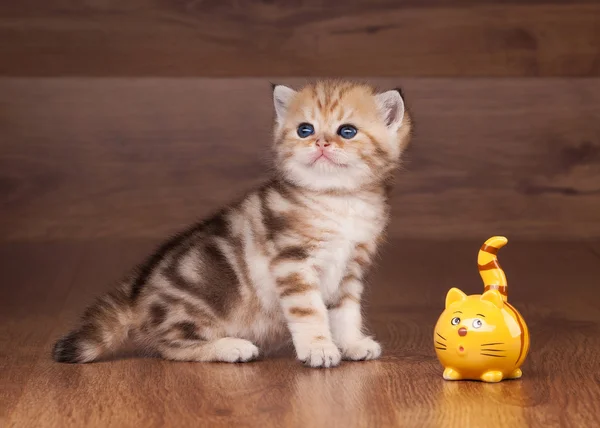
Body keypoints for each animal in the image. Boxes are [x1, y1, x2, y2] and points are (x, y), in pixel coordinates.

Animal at [54, 80, 412, 368]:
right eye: (305, 129)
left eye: (347, 131)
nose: (321, 143)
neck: (338, 200)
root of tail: (137, 295)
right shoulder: (293, 262)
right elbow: (309, 312)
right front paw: (318, 349)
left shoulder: (350, 269)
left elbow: (346, 312)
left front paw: (351, 343)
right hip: (196, 304)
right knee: (169, 346)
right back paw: (231, 348)